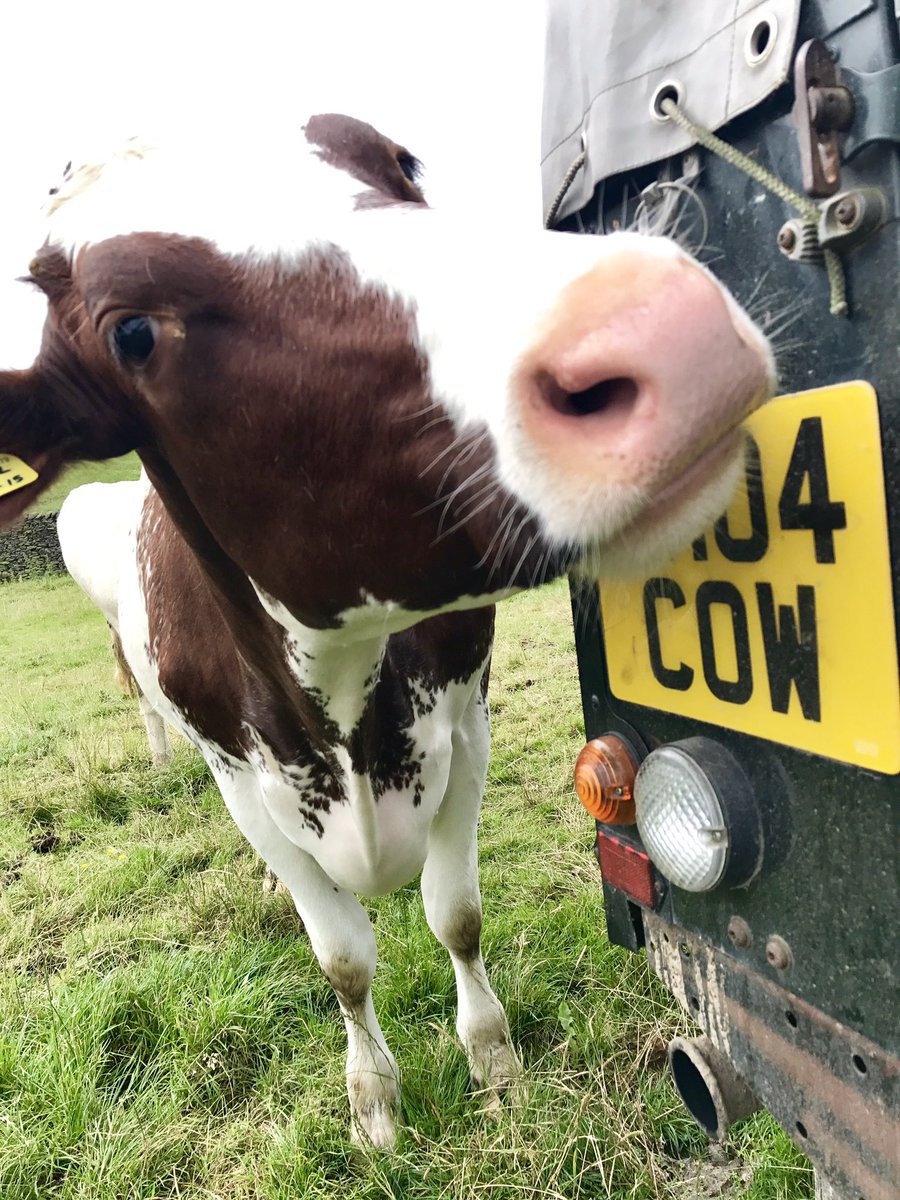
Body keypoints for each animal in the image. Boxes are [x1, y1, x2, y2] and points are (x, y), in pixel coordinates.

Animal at [0, 114, 773, 1147]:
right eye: (131, 332)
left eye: (398, 164)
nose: (659, 318)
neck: (339, 698)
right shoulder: (243, 782)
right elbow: (342, 958)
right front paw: (374, 1103)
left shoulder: (466, 726)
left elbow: (456, 916)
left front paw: (494, 1064)